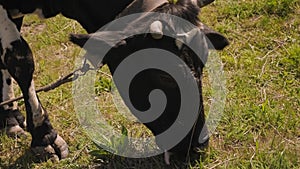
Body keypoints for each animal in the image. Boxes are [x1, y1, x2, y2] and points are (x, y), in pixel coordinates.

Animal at [0, 0, 227, 164]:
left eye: (202, 66)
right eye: (166, 76)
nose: (196, 148)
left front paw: (9, 116)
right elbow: (20, 59)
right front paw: (44, 137)